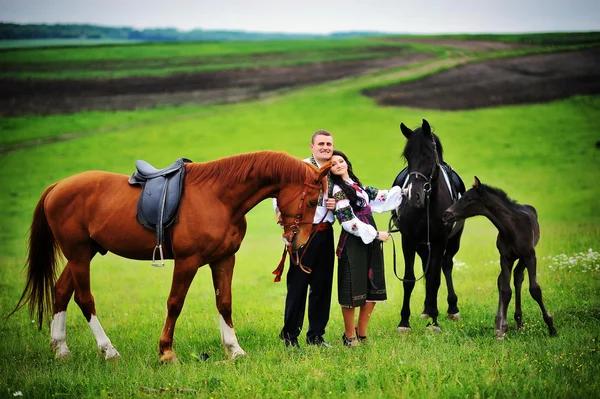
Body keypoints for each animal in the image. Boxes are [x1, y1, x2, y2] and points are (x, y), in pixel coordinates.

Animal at [10, 150, 328, 362]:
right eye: (313, 201)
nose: (301, 242)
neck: (219, 196)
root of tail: (57, 187)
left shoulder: (224, 259)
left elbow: (224, 303)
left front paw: (234, 349)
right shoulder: (188, 261)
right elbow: (175, 303)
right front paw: (166, 351)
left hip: (85, 252)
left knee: (61, 291)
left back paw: (61, 348)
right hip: (77, 254)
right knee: (84, 299)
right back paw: (108, 350)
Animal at [392, 120, 466, 332]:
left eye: (428, 155)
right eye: (407, 156)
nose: (414, 195)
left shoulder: (440, 241)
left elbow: (435, 278)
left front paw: (434, 322)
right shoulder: (408, 240)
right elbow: (409, 280)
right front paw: (404, 322)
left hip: (454, 241)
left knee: (446, 265)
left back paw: (452, 308)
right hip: (422, 245)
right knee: (427, 264)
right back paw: (426, 308)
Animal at [440, 177, 556, 340]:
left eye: (468, 199)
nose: (446, 214)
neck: (512, 228)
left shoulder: (530, 256)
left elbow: (535, 289)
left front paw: (551, 327)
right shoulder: (505, 258)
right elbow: (505, 290)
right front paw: (502, 329)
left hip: (523, 257)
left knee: (518, 277)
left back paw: (519, 322)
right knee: (506, 280)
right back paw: (506, 322)